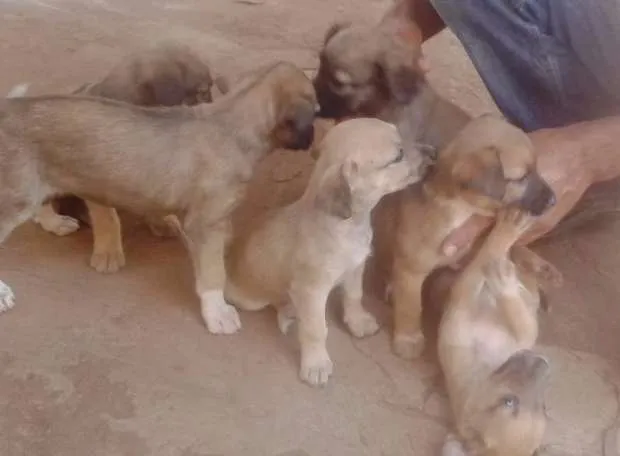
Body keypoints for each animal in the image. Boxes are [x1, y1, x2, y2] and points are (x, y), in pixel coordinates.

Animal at [223, 116, 432, 384]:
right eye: (397, 157)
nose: (434, 152)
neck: (348, 226)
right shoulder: (312, 290)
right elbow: (315, 329)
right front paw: (316, 364)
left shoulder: (356, 269)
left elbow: (354, 297)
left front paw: (358, 322)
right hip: (251, 300)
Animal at [370, 115, 556, 360]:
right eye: (522, 177)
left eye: (536, 168)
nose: (554, 200)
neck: (463, 209)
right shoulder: (411, 270)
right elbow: (410, 306)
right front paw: (408, 339)